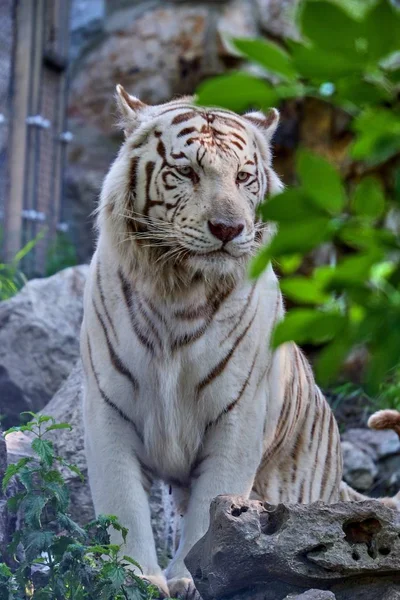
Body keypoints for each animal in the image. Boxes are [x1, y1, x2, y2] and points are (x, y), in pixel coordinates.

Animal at [81, 85, 400, 600]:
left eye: (243, 177)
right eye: (187, 172)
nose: (229, 229)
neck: (177, 291)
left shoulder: (237, 414)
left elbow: (215, 501)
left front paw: (190, 577)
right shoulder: (109, 408)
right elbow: (121, 503)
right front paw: (135, 576)